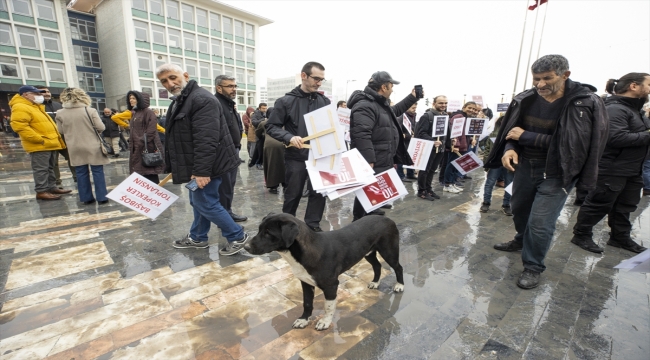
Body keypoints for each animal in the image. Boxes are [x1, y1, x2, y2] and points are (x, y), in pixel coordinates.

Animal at [246, 214, 402, 330]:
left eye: (268, 233)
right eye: (259, 229)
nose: (246, 247)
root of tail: (387, 218)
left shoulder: (331, 285)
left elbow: (328, 306)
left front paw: (325, 322)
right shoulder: (306, 282)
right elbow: (307, 303)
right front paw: (304, 320)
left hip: (389, 250)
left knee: (398, 267)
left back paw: (400, 285)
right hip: (368, 252)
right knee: (377, 265)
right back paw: (375, 282)